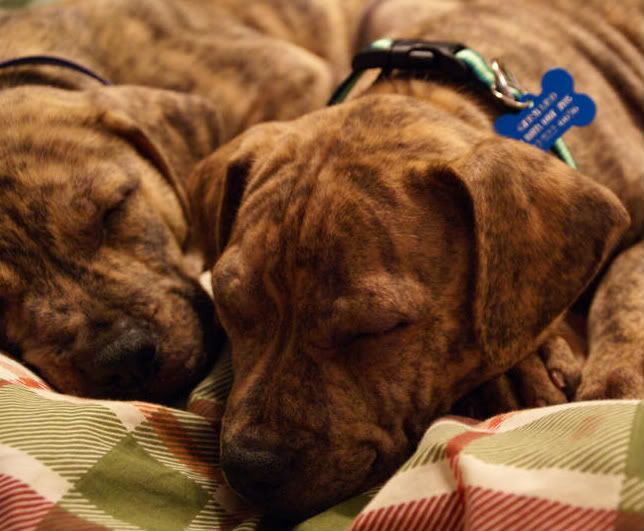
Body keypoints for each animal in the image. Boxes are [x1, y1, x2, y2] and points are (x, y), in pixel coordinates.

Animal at [188, 0, 644, 519]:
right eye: (229, 305)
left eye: (377, 329)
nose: (249, 468)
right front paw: (520, 367)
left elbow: (624, 286)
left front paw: (608, 382)